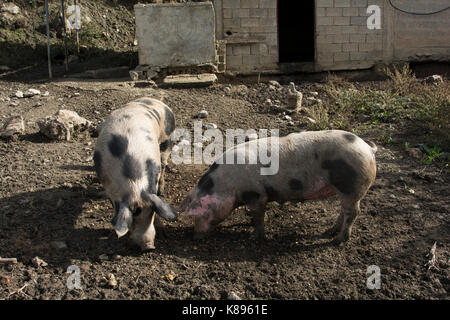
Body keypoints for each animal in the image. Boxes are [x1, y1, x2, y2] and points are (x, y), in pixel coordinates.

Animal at [94, 97, 177, 250]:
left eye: (151, 213)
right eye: (132, 220)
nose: (149, 247)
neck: (134, 184)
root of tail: (154, 100)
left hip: (168, 135)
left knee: (164, 159)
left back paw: (162, 189)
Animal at [181, 129, 378, 244]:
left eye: (201, 213)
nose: (195, 236)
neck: (225, 185)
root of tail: (368, 148)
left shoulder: (257, 195)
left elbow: (259, 217)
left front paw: (255, 237)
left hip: (353, 187)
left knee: (353, 212)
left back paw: (337, 240)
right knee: (344, 210)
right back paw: (330, 231)